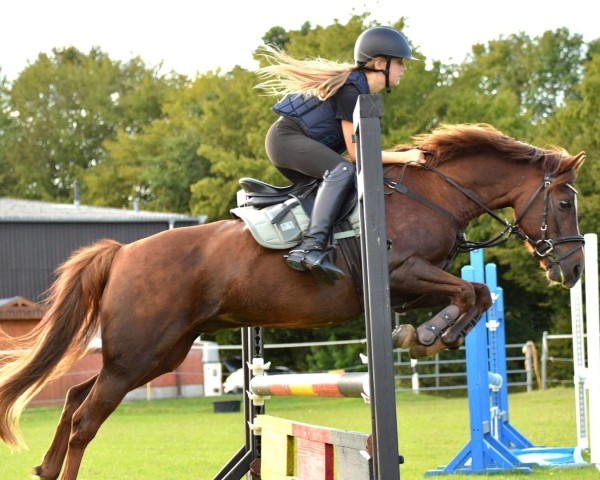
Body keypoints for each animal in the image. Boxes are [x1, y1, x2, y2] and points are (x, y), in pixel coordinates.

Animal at [0, 123, 584, 476]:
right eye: (563, 203)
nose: (574, 269)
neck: (433, 194)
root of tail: (121, 253)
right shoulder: (402, 273)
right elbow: (470, 289)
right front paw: (427, 336)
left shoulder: (414, 284)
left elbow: (477, 293)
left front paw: (427, 334)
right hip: (141, 353)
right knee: (85, 416)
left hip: (154, 354)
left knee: (75, 398)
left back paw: (45, 468)